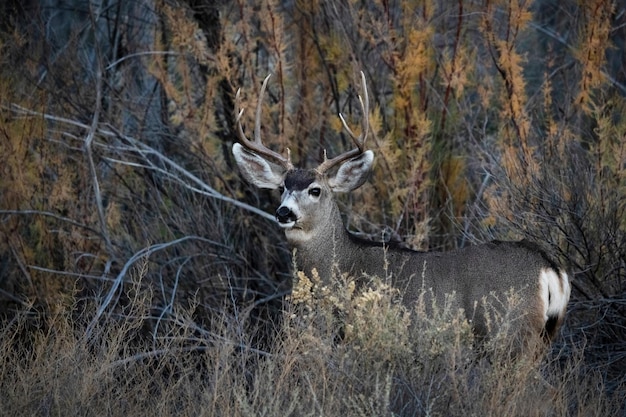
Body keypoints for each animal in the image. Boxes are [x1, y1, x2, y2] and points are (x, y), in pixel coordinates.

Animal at [230, 71, 572, 348]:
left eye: (316, 190)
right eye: (281, 188)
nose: (284, 212)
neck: (339, 265)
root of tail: (549, 267)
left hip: (511, 332)